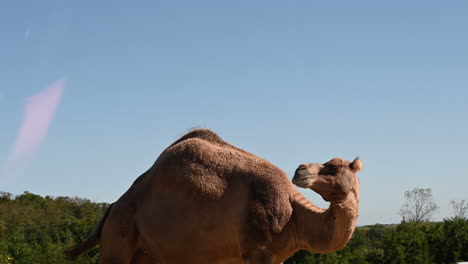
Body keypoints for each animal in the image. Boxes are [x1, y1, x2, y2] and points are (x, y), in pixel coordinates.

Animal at [66, 129, 362, 264]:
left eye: (333, 166)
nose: (300, 169)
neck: (295, 217)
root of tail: (113, 206)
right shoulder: (258, 251)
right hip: (119, 237)